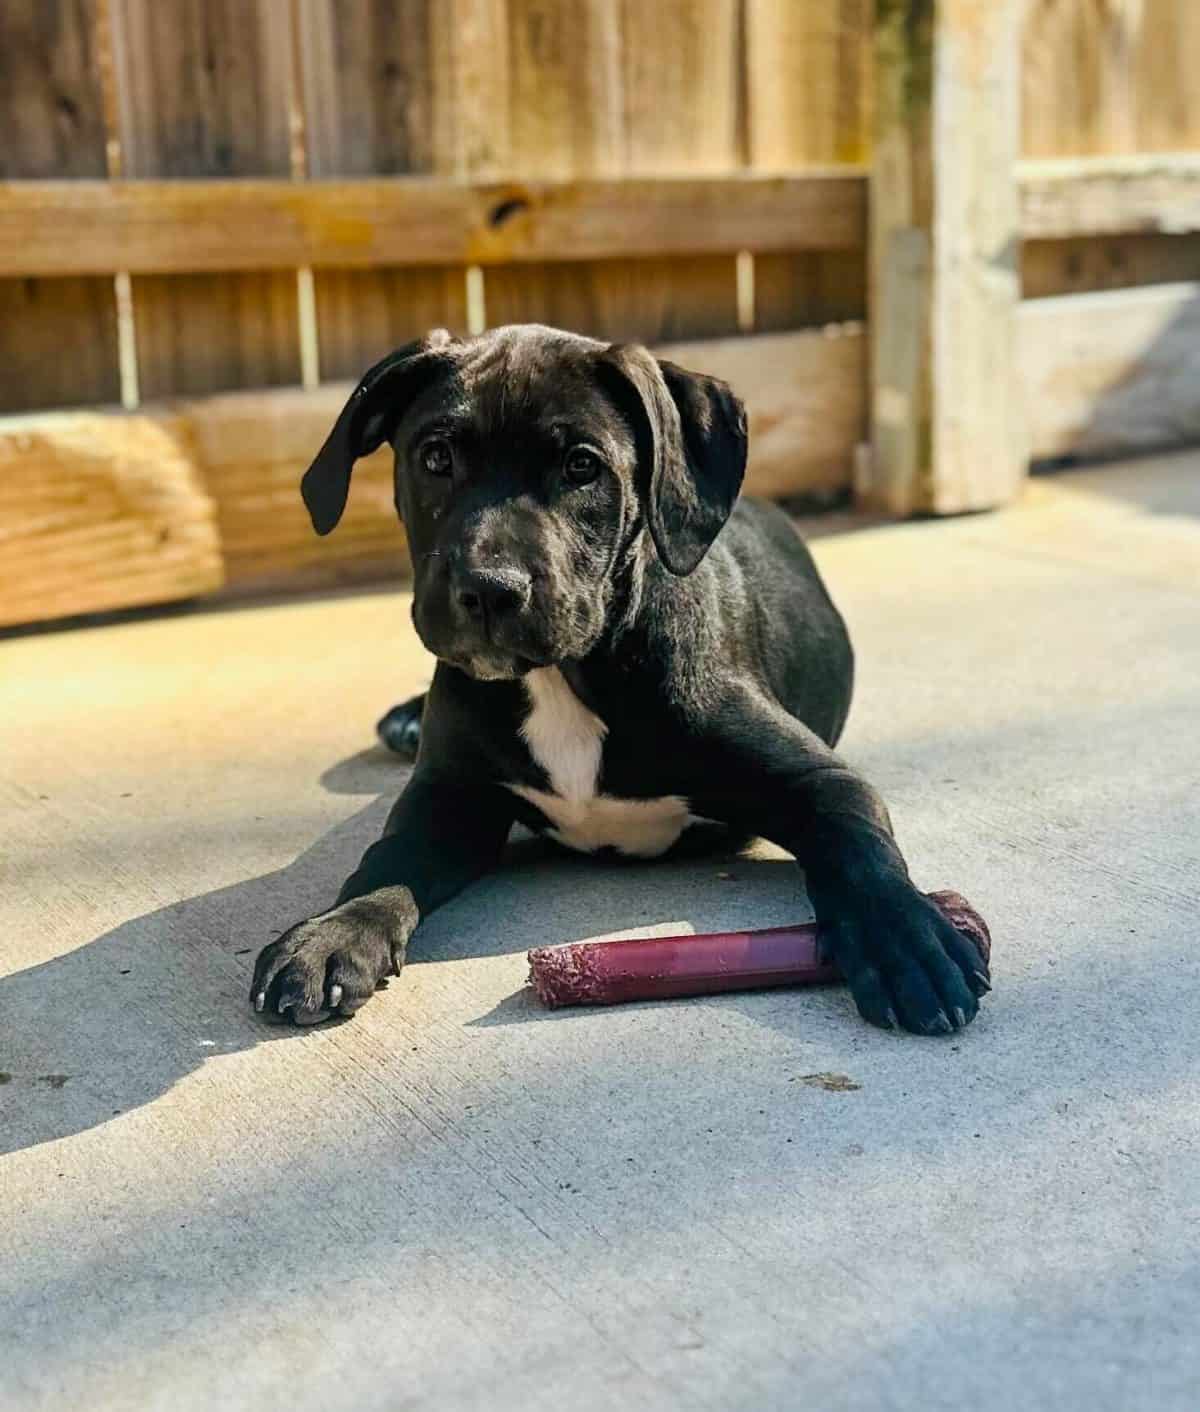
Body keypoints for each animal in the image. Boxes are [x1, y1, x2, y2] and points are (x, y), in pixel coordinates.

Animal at [250, 324, 990, 1034]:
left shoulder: (820, 777)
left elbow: (858, 847)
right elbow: (388, 860)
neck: (564, 677)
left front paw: (905, 937)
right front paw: (333, 935)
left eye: (582, 466)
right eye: (435, 458)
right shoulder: (449, 794)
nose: (489, 590)